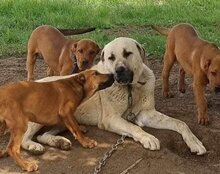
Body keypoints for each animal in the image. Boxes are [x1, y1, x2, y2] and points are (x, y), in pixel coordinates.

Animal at [21, 37, 206, 155]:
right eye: (110, 57)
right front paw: (148, 137)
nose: (119, 71)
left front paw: (194, 142)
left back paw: (60, 142)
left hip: (62, 120)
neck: (130, 89)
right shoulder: (111, 119)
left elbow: (180, 123)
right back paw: (33, 147)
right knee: (23, 139)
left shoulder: (147, 114)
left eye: (128, 53)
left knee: (43, 135)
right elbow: (134, 127)